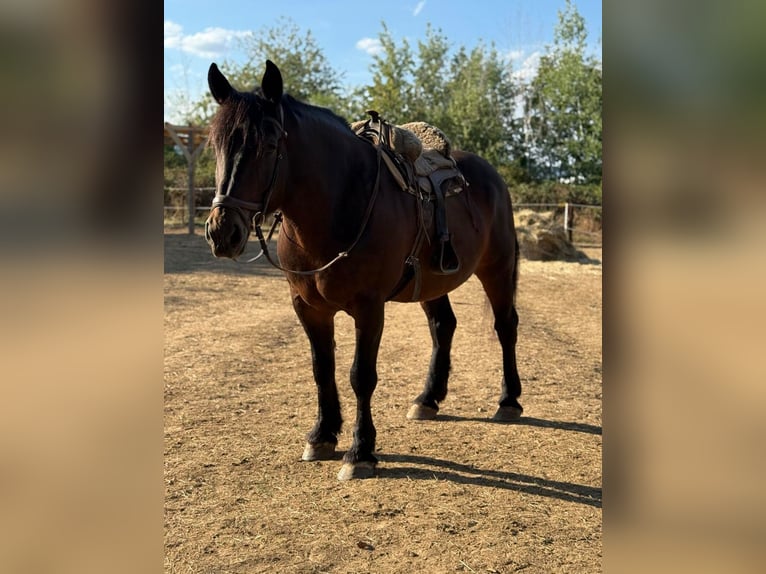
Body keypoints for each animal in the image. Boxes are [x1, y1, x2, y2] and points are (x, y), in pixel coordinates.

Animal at [204, 60, 523, 480]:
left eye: (270, 145)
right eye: (216, 145)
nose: (222, 232)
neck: (340, 204)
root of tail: (492, 176)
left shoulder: (369, 308)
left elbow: (361, 376)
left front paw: (361, 452)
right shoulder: (308, 307)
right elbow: (322, 368)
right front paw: (322, 435)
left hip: (497, 268)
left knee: (505, 326)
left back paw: (509, 401)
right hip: (433, 283)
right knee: (443, 326)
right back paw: (428, 399)